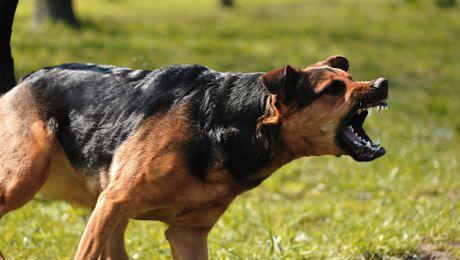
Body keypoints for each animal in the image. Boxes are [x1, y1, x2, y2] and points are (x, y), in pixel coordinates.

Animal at [0, 54, 388, 258]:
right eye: (333, 89)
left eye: (350, 77)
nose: (382, 84)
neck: (230, 122)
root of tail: (23, 80)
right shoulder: (115, 202)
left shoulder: (188, 234)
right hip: (26, 179)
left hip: (104, 208)